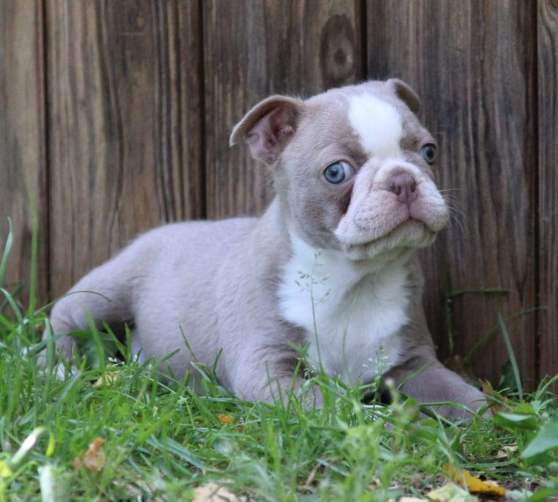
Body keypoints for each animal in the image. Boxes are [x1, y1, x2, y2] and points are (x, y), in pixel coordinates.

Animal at [46, 79, 486, 418]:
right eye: (336, 172)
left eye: (429, 152)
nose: (403, 179)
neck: (354, 280)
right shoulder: (267, 369)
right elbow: (325, 403)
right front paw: (376, 422)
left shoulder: (414, 362)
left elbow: (461, 395)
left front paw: (482, 416)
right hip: (105, 293)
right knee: (62, 318)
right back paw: (57, 368)